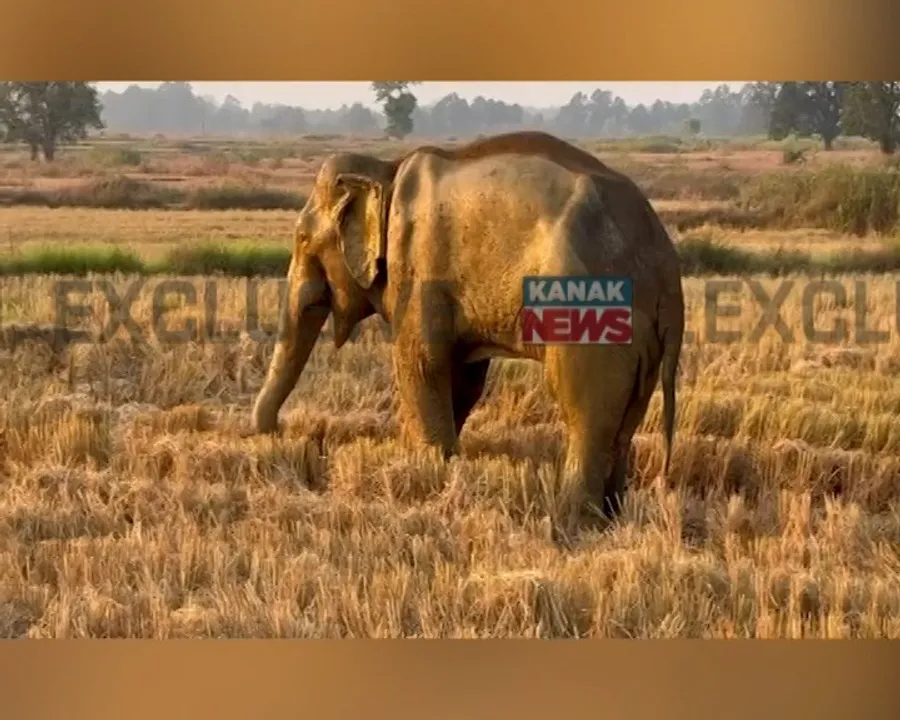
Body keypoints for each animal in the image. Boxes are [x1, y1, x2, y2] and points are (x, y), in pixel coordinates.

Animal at [251, 130, 685, 535]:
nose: (284, 432)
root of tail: (665, 267)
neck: (386, 171)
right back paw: (612, 519)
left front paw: (428, 478)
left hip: (595, 315)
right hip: (644, 344)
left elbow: (420, 364)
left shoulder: (418, 266)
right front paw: (434, 470)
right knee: (625, 421)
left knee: (582, 406)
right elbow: (462, 378)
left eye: (302, 239)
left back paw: (571, 523)